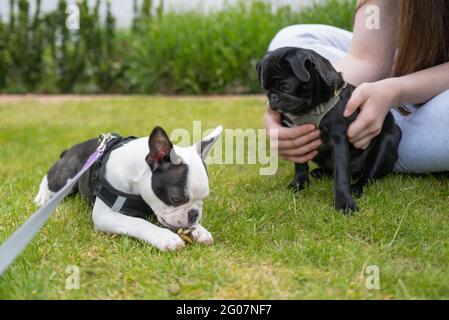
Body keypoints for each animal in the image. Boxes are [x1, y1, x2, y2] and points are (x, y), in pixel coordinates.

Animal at [35, 125, 222, 250]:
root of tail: (72, 148)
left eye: (204, 199)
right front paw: (163, 236)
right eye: (175, 199)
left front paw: (199, 229)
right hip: (66, 177)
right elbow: (138, 222)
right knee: (50, 180)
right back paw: (42, 198)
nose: (194, 214)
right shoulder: (104, 216)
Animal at [258, 47, 400, 212]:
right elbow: (300, 164)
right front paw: (299, 184)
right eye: (265, 89)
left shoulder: (338, 141)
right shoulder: (298, 140)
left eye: (285, 86)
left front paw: (344, 203)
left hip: (386, 143)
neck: (310, 109)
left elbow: (341, 175)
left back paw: (356, 188)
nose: (272, 97)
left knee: (367, 176)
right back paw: (320, 172)